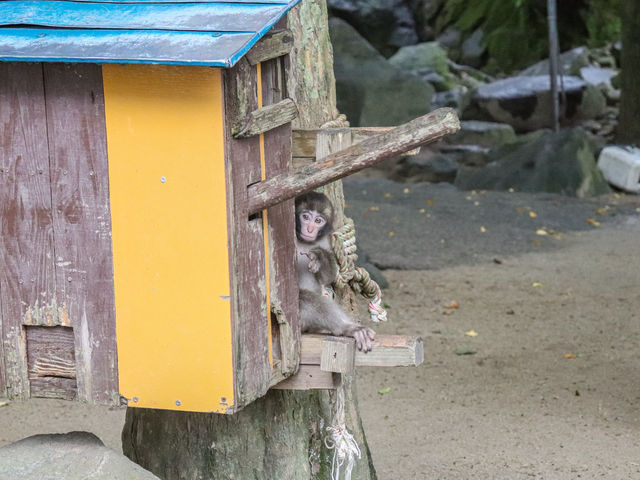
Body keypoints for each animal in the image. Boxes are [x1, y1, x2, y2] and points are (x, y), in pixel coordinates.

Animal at [296, 191, 376, 352]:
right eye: (305, 217)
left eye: (318, 220)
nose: (309, 229)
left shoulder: (326, 241)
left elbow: (329, 277)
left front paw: (319, 258)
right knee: (305, 297)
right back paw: (349, 328)